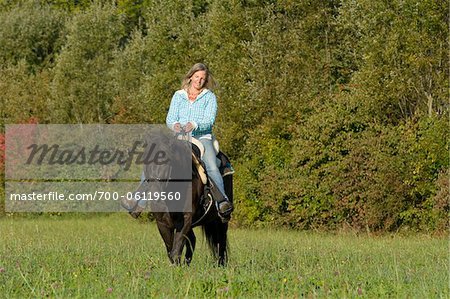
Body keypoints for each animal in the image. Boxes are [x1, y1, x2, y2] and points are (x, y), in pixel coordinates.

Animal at [135, 134, 230, 268]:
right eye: (145, 160)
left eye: (166, 161)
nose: (155, 194)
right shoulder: (162, 222)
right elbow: (171, 249)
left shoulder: (185, 219)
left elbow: (177, 247)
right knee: (193, 240)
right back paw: (187, 263)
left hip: (221, 220)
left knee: (221, 242)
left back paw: (221, 265)